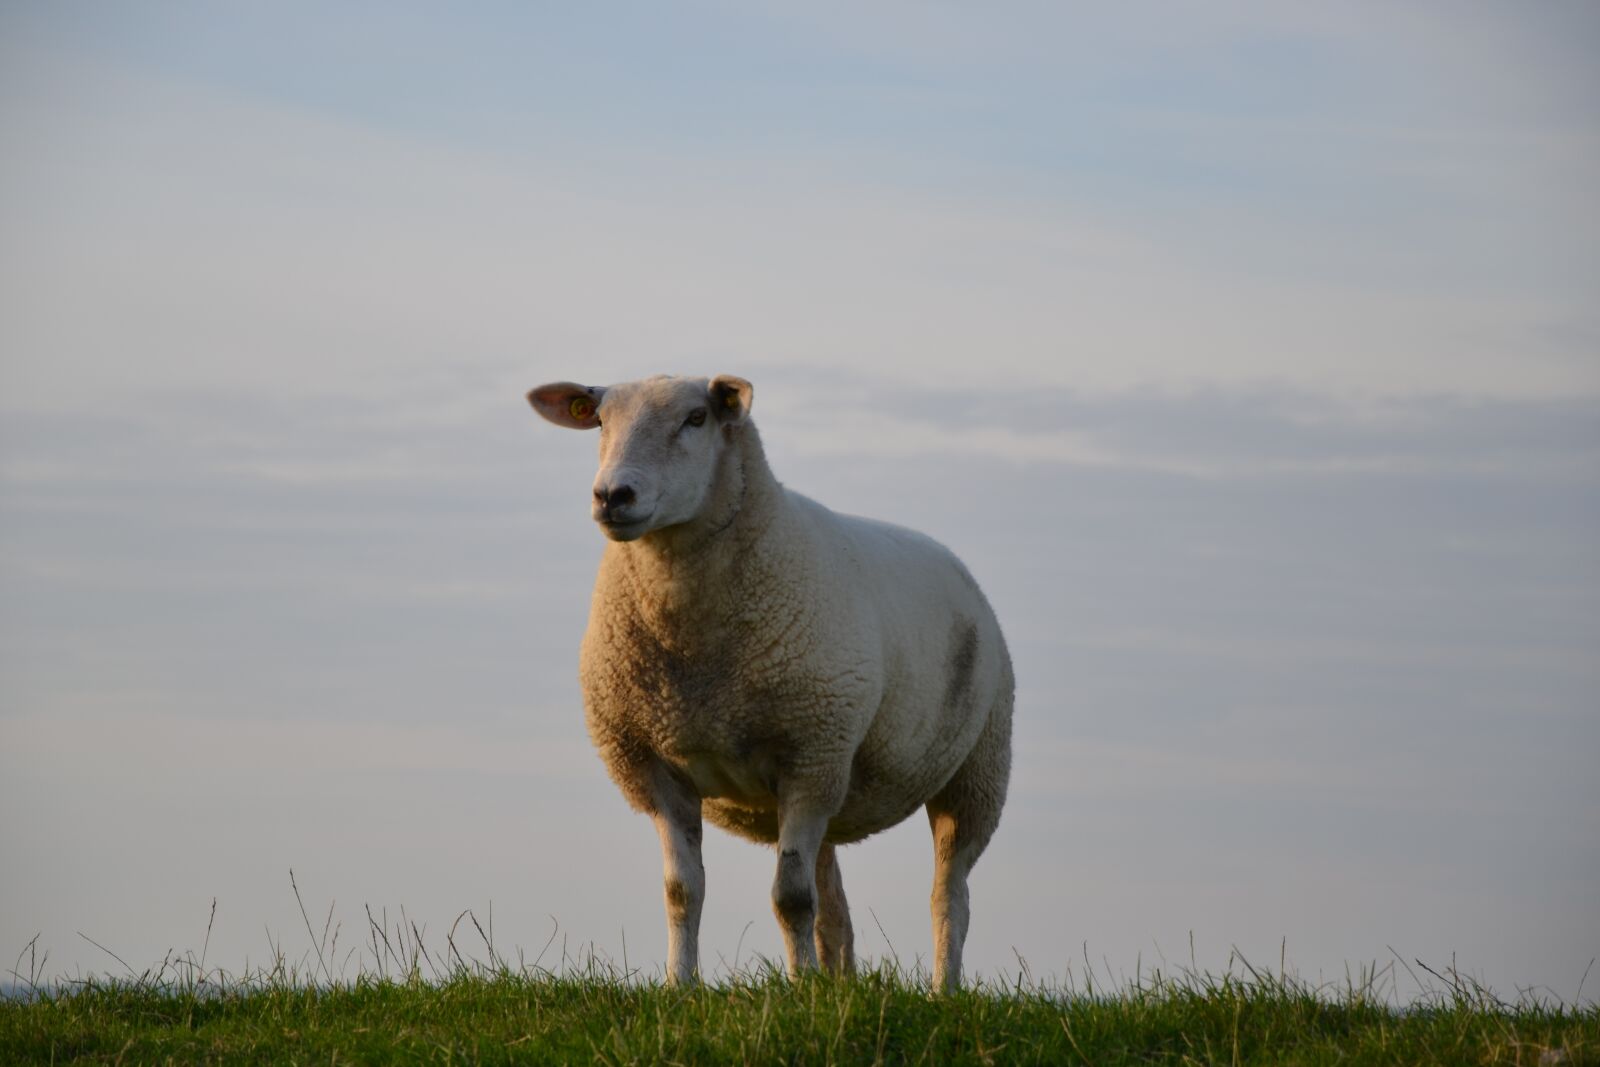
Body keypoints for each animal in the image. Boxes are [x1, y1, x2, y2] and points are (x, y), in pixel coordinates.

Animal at [527, 373, 1013, 991]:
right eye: (600, 421)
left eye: (696, 418)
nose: (613, 496)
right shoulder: (654, 765)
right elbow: (683, 892)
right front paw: (681, 986)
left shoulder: (808, 755)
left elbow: (790, 898)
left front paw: (799, 987)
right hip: (837, 784)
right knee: (836, 908)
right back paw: (837, 984)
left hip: (976, 770)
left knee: (949, 894)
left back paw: (940, 991)